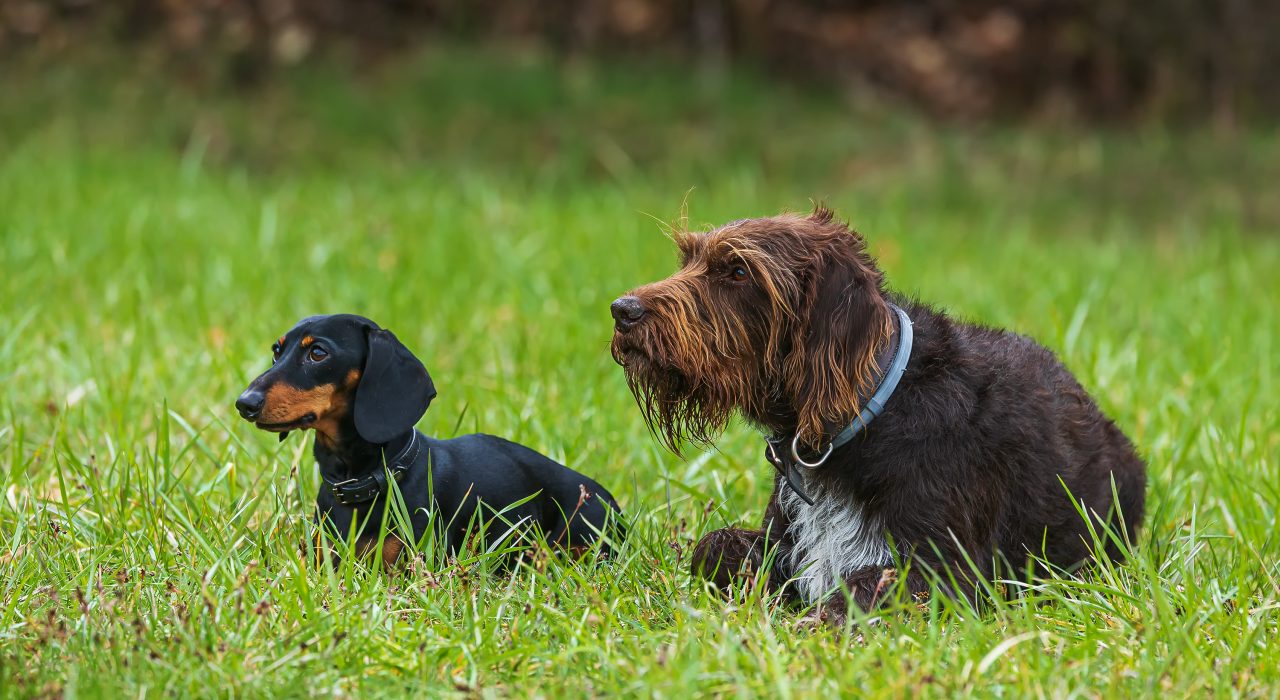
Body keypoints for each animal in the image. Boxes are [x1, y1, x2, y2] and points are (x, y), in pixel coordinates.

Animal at [609, 208, 1152, 624]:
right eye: (689, 259)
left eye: (739, 272)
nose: (622, 310)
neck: (861, 414)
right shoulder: (780, 539)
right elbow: (713, 545)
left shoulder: (943, 572)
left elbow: (860, 586)